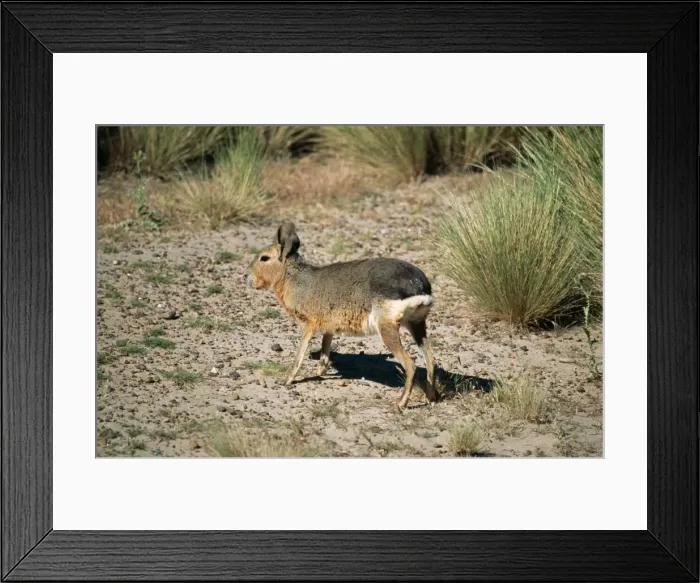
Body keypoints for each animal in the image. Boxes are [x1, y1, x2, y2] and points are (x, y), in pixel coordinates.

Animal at [246, 222, 437, 411]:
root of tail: (419, 285)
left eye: (264, 258)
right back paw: (432, 398)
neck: (295, 280)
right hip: (417, 324)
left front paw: (288, 379)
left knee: (411, 365)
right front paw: (320, 371)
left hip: (387, 327)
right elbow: (325, 347)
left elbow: (299, 353)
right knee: (430, 358)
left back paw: (401, 404)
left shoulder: (309, 324)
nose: (247, 275)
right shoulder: (328, 324)